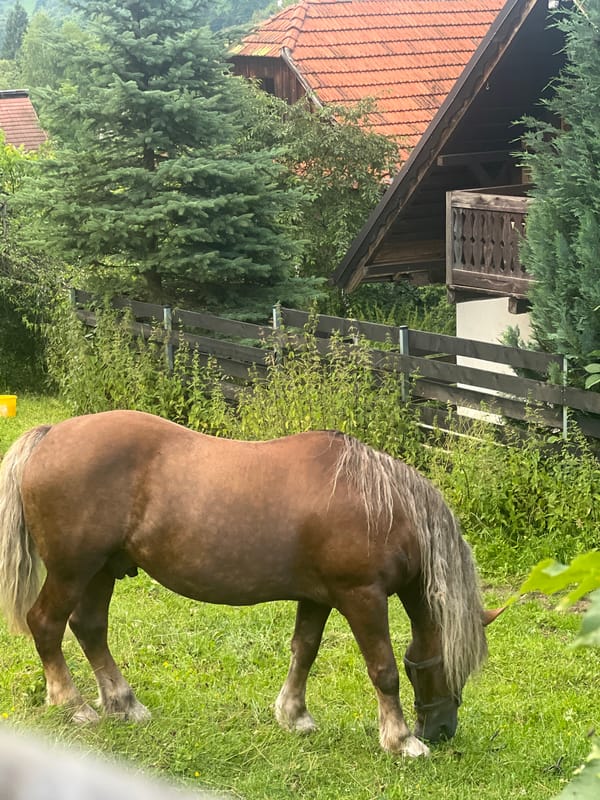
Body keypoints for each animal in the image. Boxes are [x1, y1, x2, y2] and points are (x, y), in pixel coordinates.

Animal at [0, 410, 501, 758]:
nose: (443, 731)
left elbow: (304, 651)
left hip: (102, 570)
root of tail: (51, 434)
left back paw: (124, 704)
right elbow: (384, 670)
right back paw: (74, 705)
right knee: (46, 625)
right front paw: (401, 741)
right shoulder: (362, 597)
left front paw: (294, 716)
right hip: (72, 571)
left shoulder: (317, 598)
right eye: (453, 668)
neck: (381, 506)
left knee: (90, 629)